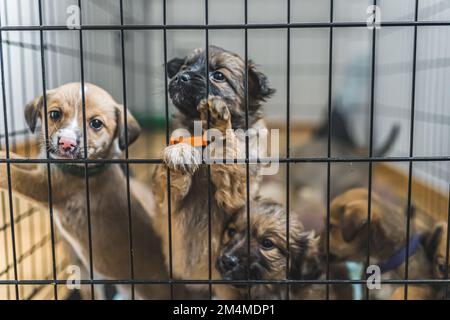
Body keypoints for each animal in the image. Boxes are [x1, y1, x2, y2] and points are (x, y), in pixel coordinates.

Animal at [0, 82, 176, 300]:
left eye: (96, 124)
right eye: (55, 114)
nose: (66, 143)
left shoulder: (45, 187)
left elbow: (13, 176)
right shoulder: (42, 168)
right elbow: (16, 159)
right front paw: (4, 153)